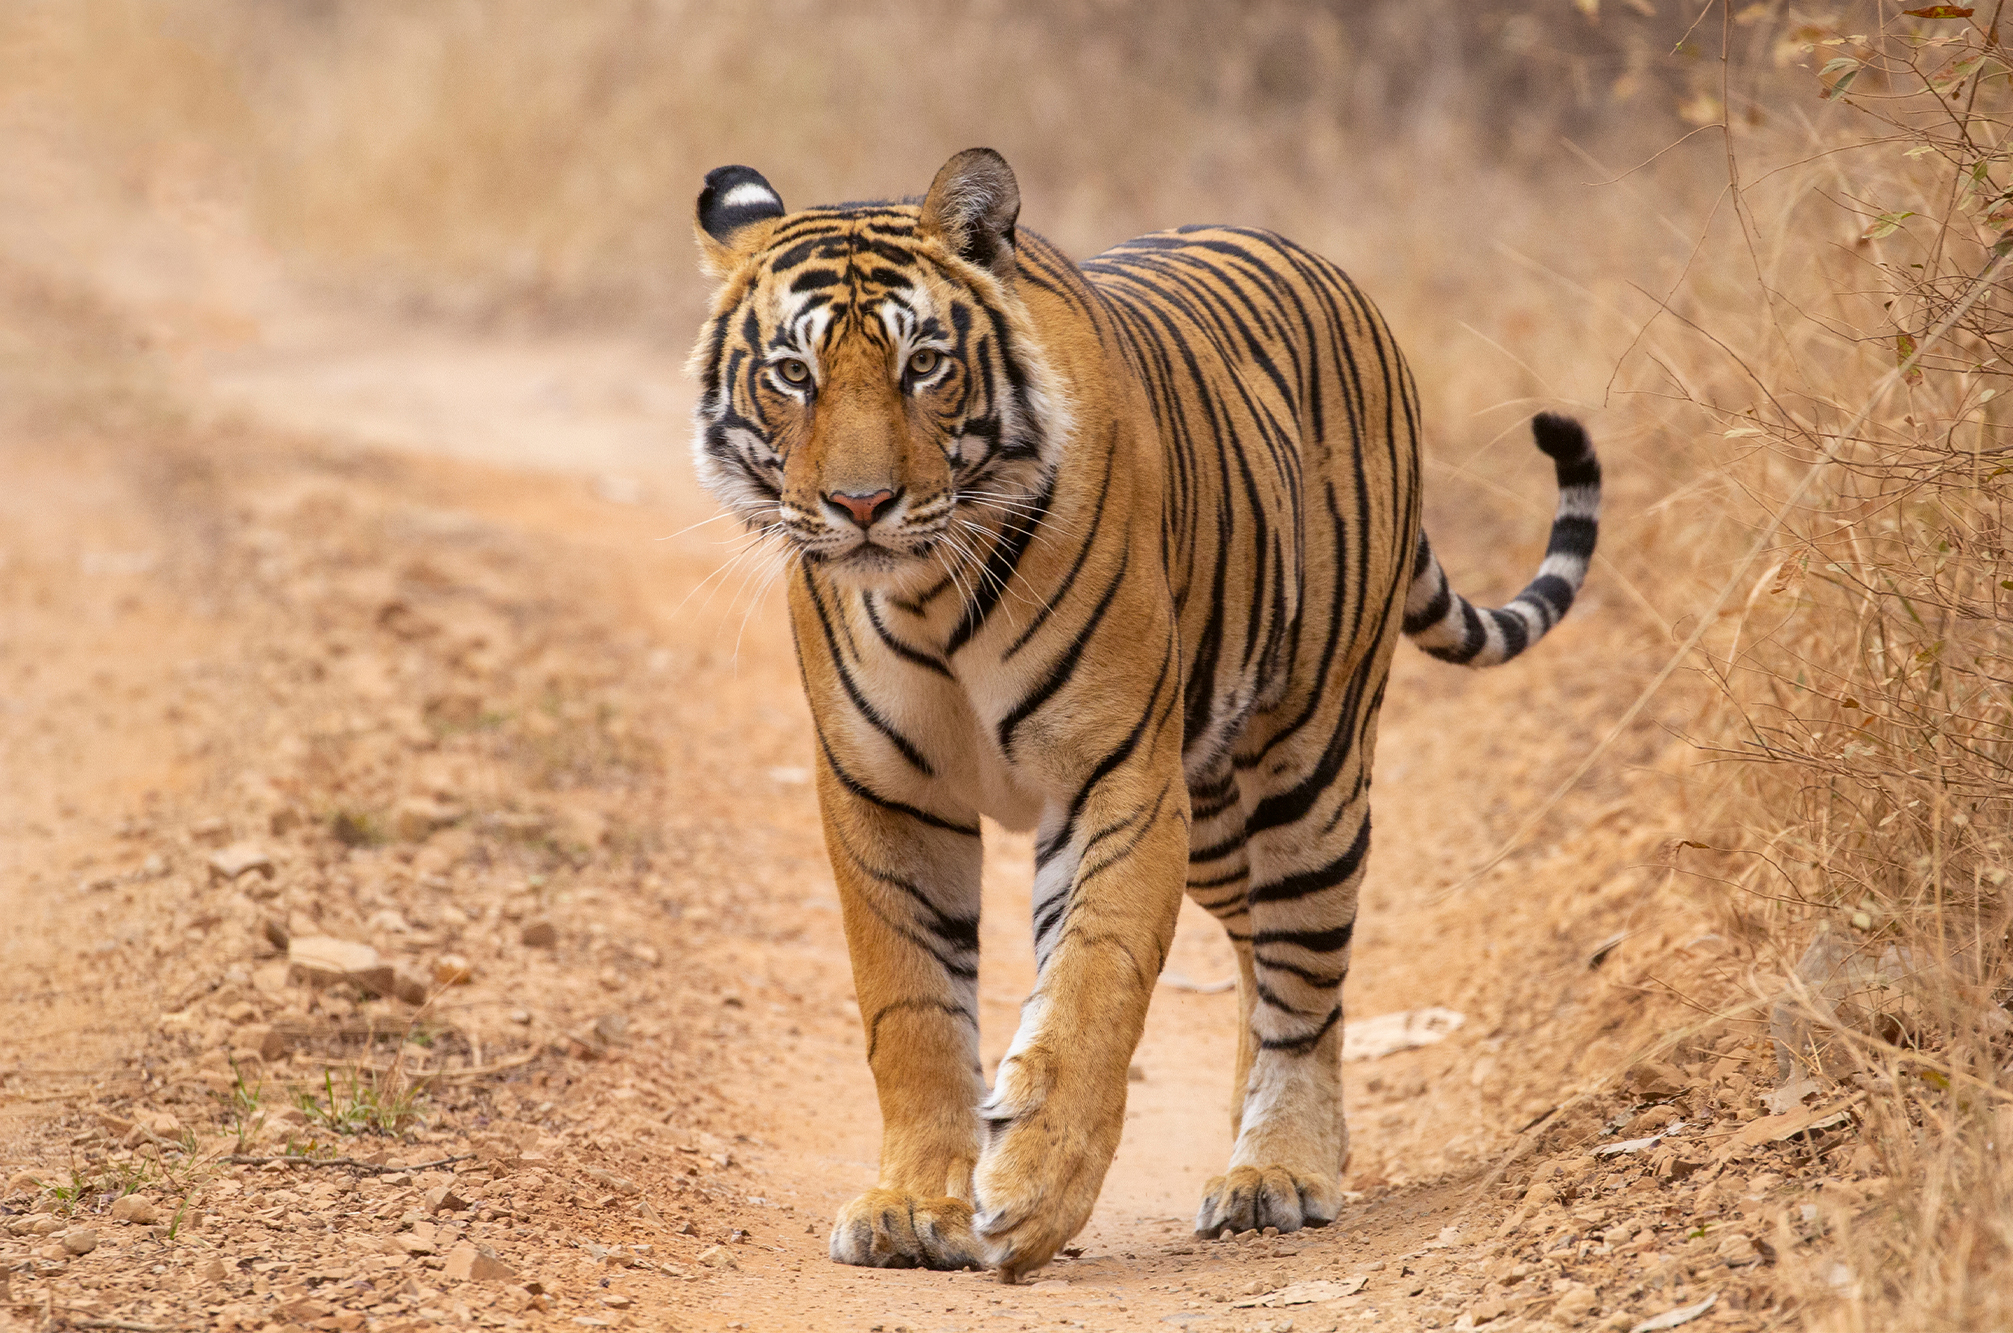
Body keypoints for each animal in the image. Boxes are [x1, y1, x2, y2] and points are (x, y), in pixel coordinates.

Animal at [687, 148, 1600, 1281]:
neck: (930, 594)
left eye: (924, 365)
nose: (861, 507)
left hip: (1310, 766)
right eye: (792, 374)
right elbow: (910, 1005)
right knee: (1258, 956)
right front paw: (912, 1201)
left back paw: (1279, 1169)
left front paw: (1033, 1191)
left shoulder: (1112, 775)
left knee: (1306, 974)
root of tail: (1321, 264)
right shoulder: (882, 792)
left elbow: (1093, 981)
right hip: (1210, 817)